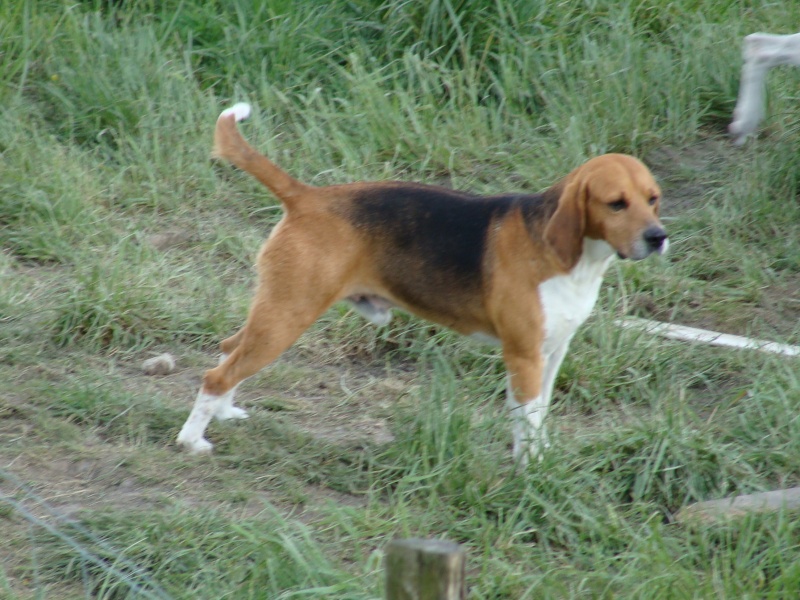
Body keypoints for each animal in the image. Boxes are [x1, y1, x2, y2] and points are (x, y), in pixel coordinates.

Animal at [177, 103, 668, 466]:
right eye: (616, 203)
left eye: (653, 198)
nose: (658, 237)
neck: (576, 259)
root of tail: (308, 197)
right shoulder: (524, 356)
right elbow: (525, 420)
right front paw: (530, 473)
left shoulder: (553, 351)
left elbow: (540, 415)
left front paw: (542, 458)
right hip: (286, 317)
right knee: (218, 373)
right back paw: (191, 440)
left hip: (274, 314)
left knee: (229, 351)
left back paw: (223, 412)